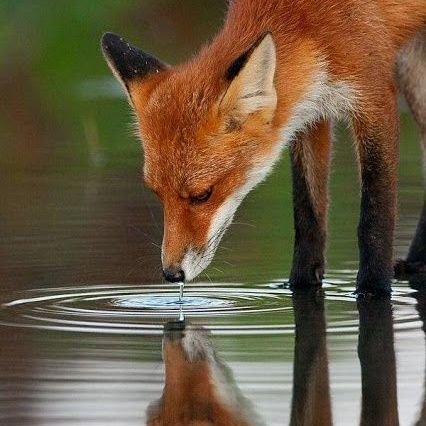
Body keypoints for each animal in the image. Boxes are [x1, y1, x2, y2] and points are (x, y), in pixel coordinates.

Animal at [102, 0, 426, 294]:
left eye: (202, 195)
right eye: (156, 193)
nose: (171, 274)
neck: (306, 18)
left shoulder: (375, 96)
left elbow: (374, 219)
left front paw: (373, 288)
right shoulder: (310, 110)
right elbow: (308, 216)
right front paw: (299, 284)